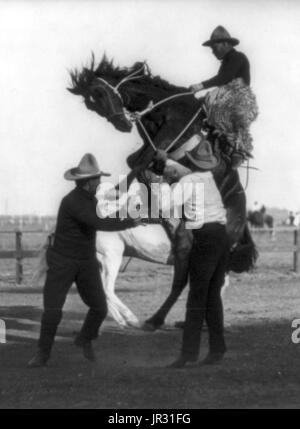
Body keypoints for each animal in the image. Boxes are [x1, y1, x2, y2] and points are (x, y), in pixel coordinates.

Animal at [46, 55, 255, 326]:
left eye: (100, 94)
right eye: (93, 106)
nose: (122, 125)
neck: (163, 106)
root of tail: (241, 213)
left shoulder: (168, 138)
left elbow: (140, 163)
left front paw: (118, 192)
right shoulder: (151, 144)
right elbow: (135, 161)